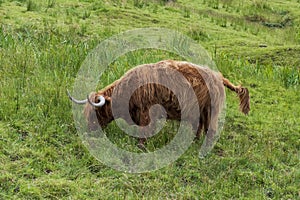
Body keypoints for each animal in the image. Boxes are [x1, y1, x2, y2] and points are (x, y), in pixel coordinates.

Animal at [67, 59, 248, 147]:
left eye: (96, 112)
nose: (89, 129)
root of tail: (218, 76)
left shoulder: (146, 111)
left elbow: (144, 129)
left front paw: (141, 146)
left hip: (212, 109)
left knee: (211, 129)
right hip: (201, 109)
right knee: (201, 125)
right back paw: (195, 142)